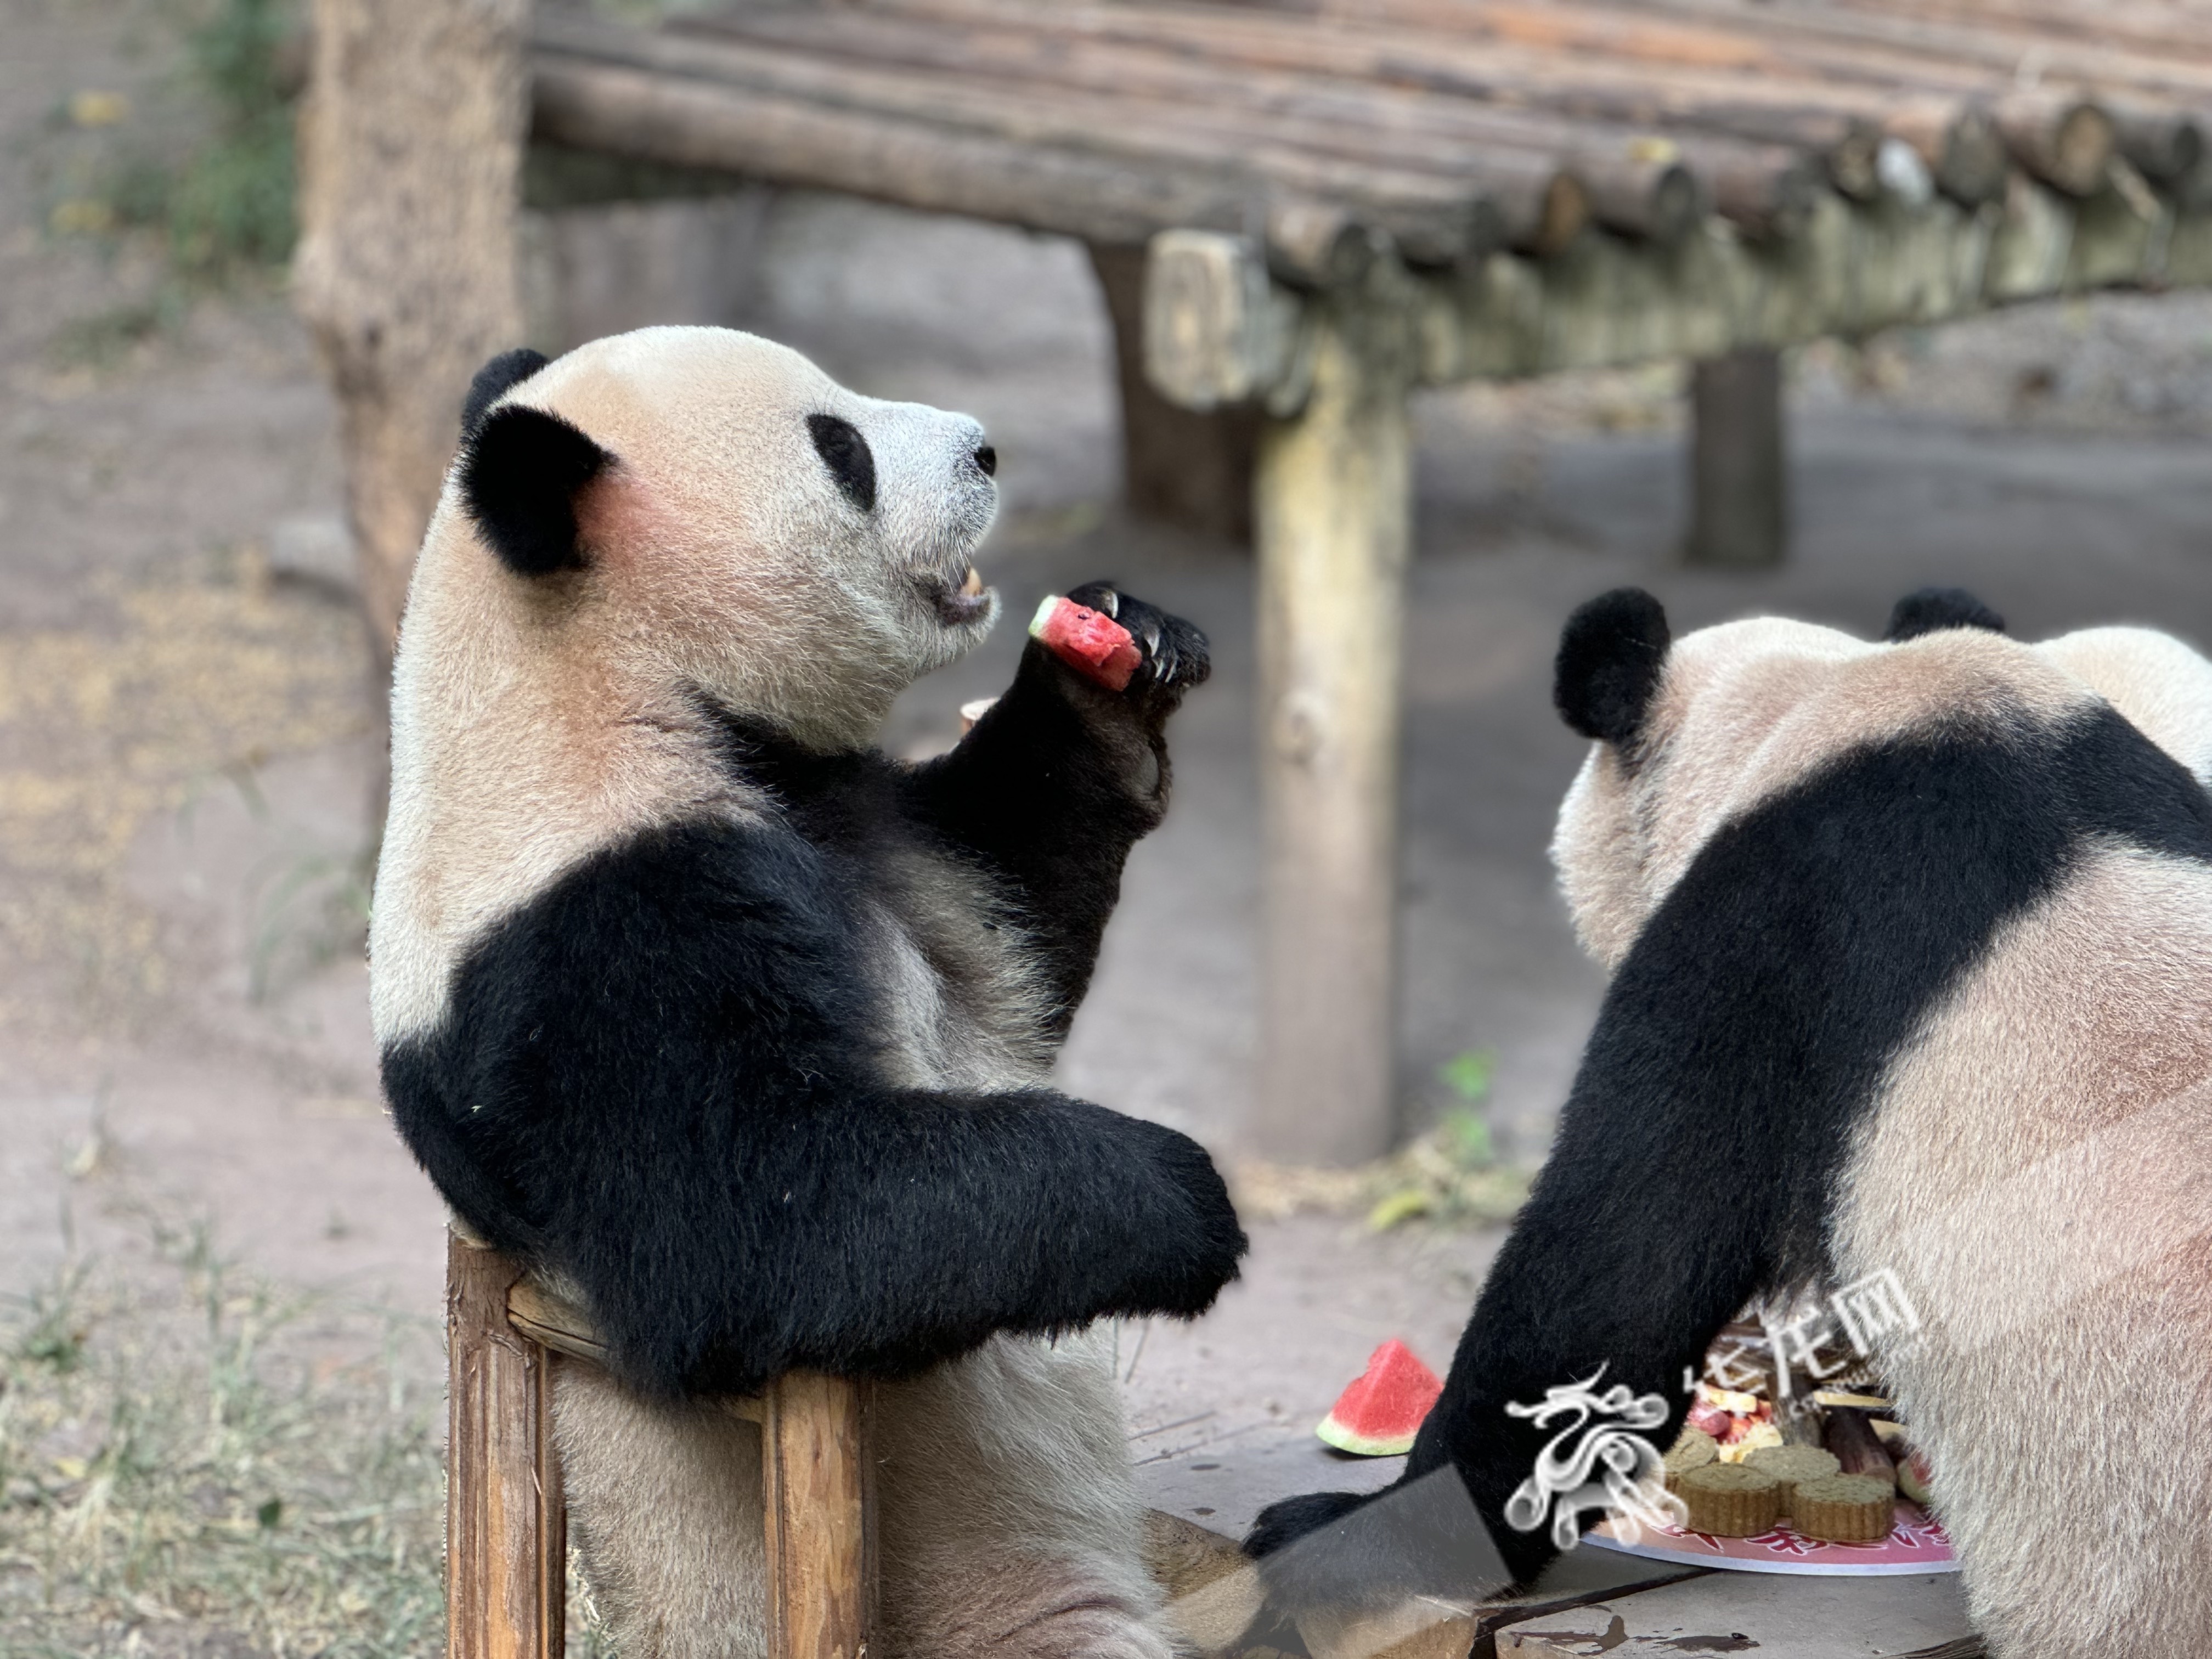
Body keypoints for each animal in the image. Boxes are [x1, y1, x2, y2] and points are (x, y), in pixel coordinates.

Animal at [371, 327, 1256, 1659]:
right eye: (840, 450)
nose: (986, 450)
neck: (587, 670)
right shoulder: (584, 939)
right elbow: (759, 1217)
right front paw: (1183, 1197)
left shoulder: (839, 805)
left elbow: (1009, 926)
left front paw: (1110, 661)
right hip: (969, 1601)